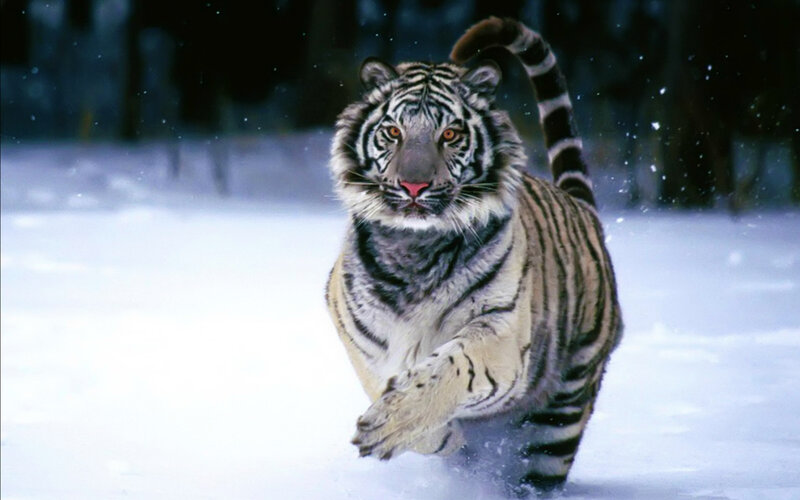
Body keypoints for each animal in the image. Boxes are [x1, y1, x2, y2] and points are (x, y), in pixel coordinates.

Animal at [325, 16, 623, 495]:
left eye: (449, 134)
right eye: (393, 132)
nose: (413, 185)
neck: (414, 248)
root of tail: (584, 209)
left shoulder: (502, 329)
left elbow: (449, 369)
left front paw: (391, 424)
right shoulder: (360, 338)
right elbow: (388, 386)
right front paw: (440, 438)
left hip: (561, 415)